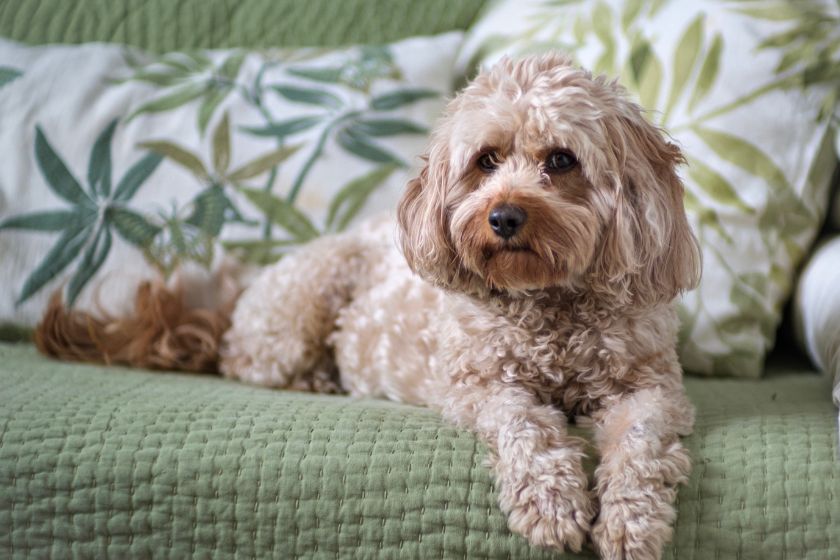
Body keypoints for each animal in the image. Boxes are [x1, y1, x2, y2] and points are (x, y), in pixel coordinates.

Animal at [36, 52, 700, 560]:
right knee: (242, 361)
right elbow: (527, 427)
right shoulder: (478, 386)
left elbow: (640, 444)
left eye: (561, 159)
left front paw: (630, 522)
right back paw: (315, 379)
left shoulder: (653, 387)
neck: (550, 305)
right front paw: (553, 504)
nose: (504, 216)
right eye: (486, 160)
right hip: (298, 311)